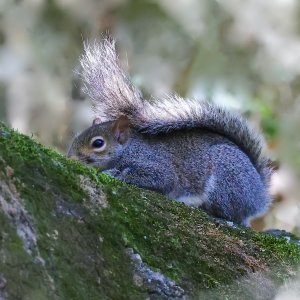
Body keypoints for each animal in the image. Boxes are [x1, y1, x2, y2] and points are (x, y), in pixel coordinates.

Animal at [68, 38, 274, 225]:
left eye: (98, 143)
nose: (71, 158)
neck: (129, 149)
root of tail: (259, 197)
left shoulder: (156, 165)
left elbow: (160, 178)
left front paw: (115, 174)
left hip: (226, 181)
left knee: (232, 215)